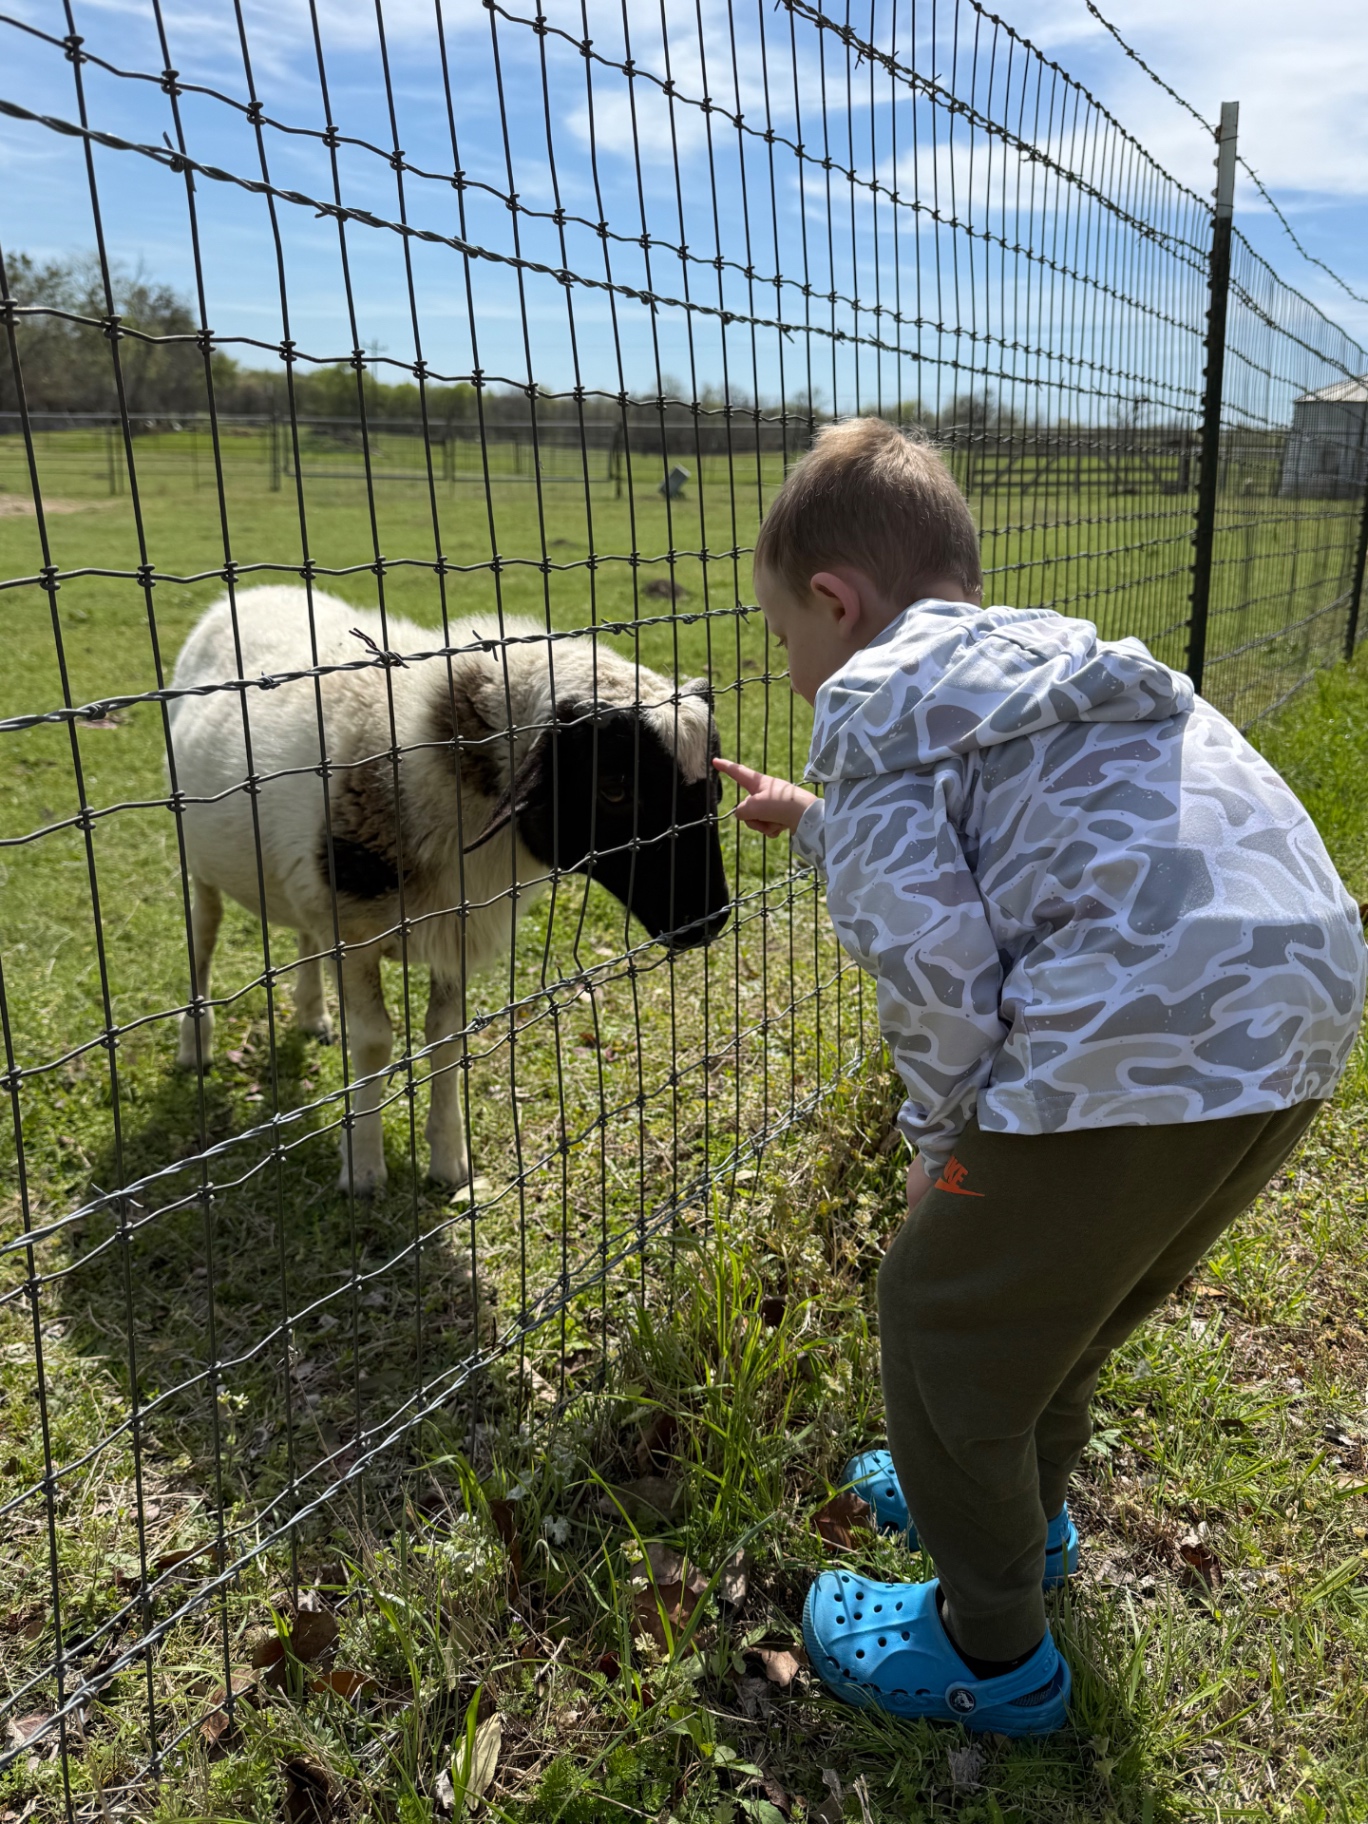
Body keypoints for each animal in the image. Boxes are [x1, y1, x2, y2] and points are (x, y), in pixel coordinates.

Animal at [167, 585, 730, 1194]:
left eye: (715, 785)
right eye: (614, 787)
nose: (710, 919)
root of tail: (254, 591)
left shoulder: (451, 924)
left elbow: (447, 1039)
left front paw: (449, 1161)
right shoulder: (354, 931)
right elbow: (374, 1041)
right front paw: (362, 1167)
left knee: (304, 938)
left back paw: (313, 1016)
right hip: (201, 860)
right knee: (203, 935)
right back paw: (195, 1044)